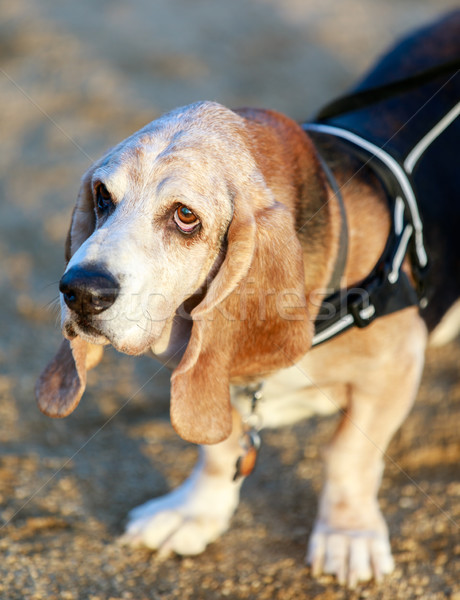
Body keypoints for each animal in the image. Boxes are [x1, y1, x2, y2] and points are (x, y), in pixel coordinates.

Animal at [36, 11, 460, 588]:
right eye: (103, 197)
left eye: (185, 216)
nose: (79, 290)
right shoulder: (209, 371)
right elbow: (219, 448)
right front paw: (194, 512)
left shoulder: (395, 366)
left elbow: (348, 455)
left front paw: (348, 534)